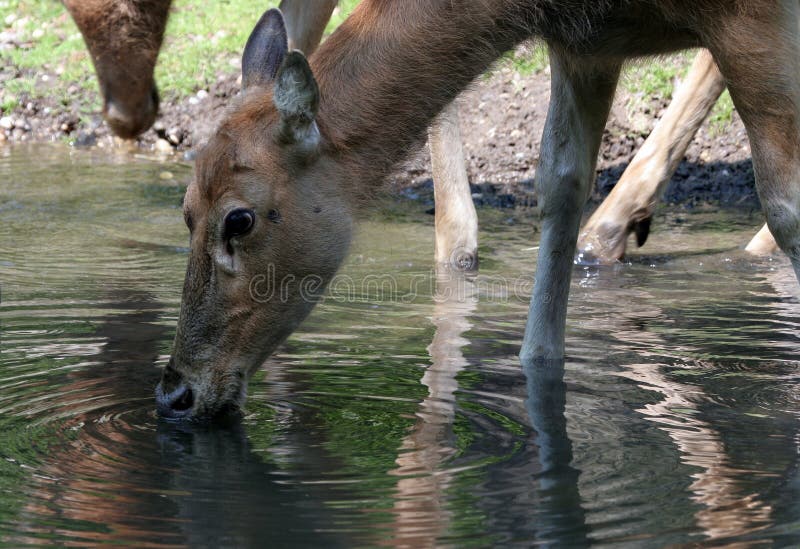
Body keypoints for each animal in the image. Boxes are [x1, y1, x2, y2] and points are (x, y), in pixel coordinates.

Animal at [154, 0, 800, 419]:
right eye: (185, 208)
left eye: (239, 219)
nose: (174, 393)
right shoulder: (587, 46)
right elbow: (560, 184)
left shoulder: (749, 18)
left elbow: (787, 204)